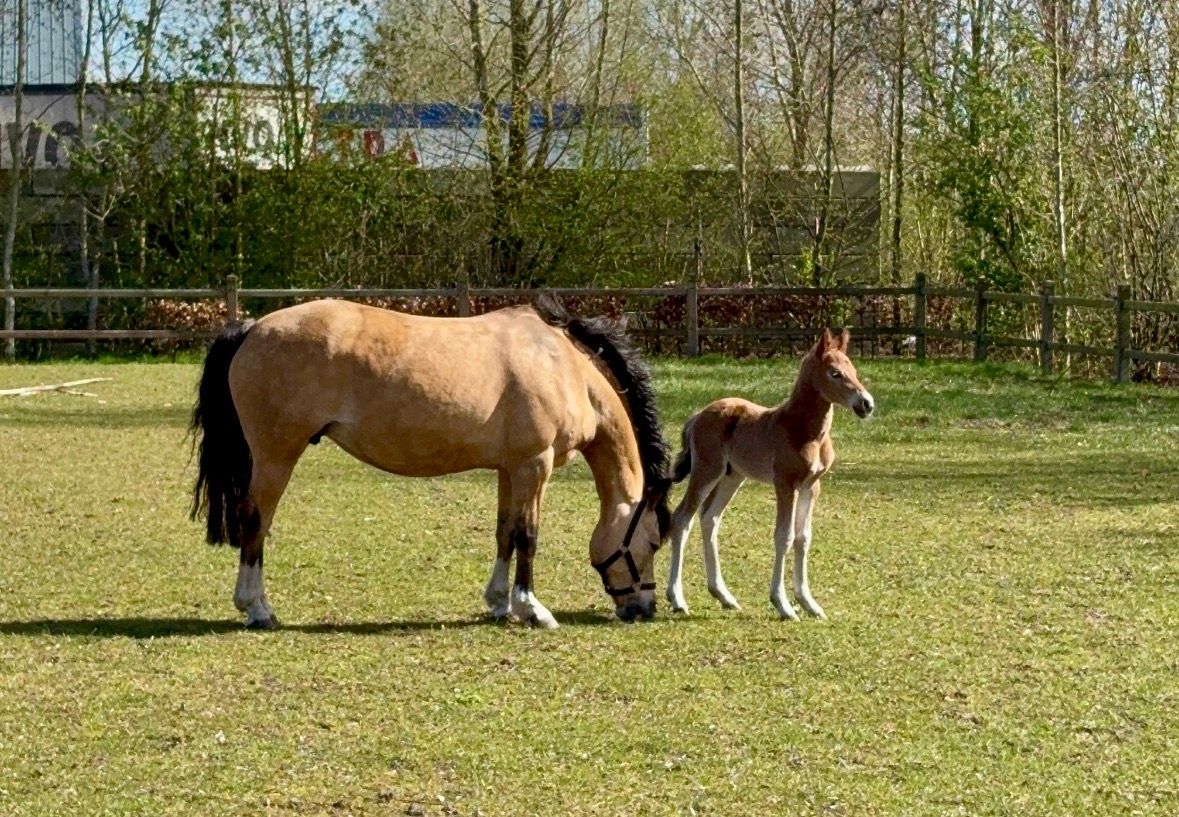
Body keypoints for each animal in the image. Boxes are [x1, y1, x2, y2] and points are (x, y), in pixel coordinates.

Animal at [189, 295, 672, 630]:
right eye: (651, 543)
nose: (643, 609)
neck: (560, 365)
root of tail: (251, 328)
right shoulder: (536, 466)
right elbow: (529, 536)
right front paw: (532, 609)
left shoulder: (510, 469)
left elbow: (505, 533)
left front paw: (500, 603)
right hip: (275, 456)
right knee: (255, 521)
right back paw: (257, 609)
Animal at [664, 328, 874, 620]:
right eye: (835, 373)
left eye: (853, 370)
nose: (866, 404)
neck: (803, 431)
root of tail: (697, 416)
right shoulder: (785, 483)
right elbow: (784, 537)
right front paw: (783, 604)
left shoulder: (811, 486)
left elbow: (803, 538)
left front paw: (809, 604)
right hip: (706, 471)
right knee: (682, 519)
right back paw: (678, 599)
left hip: (732, 477)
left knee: (710, 518)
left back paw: (724, 595)